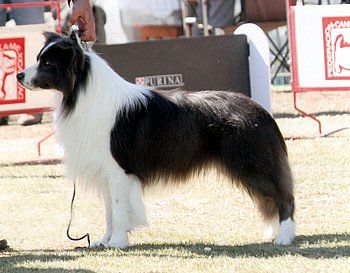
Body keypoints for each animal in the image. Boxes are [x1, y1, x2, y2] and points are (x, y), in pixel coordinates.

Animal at [17, 31, 296, 246]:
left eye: (48, 63)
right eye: (38, 58)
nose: (19, 76)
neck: (81, 92)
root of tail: (261, 111)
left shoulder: (119, 170)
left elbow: (118, 210)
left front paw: (118, 243)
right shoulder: (106, 172)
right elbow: (109, 211)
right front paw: (104, 241)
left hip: (253, 164)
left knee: (283, 196)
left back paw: (284, 237)